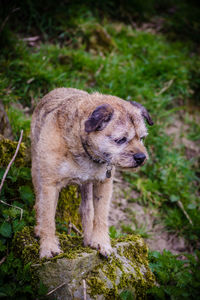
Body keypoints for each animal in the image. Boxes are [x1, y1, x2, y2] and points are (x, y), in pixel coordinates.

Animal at [31, 86, 153, 258]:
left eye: (142, 138)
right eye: (120, 140)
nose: (141, 157)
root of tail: (56, 90)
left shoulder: (103, 184)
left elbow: (100, 215)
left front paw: (101, 242)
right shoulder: (50, 185)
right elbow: (48, 217)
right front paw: (48, 247)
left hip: (87, 186)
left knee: (87, 210)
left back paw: (88, 238)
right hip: (36, 170)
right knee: (39, 202)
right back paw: (38, 228)